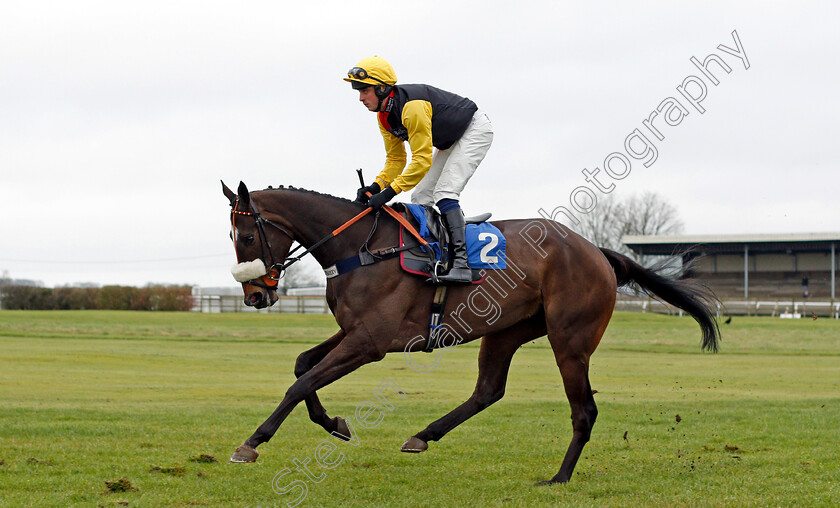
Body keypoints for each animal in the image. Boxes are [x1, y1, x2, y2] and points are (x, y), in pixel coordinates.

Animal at [220, 180, 720, 484]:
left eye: (245, 237)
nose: (255, 296)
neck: (360, 248)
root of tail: (596, 250)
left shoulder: (371, 342)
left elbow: (301, 381)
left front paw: (252, 443)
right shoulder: (354, 332)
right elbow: (302, 365)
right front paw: (334, 423)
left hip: (570, 341)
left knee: (584, 411)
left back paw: (559, 477)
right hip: (507, 330)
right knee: (488, 391)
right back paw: (423, 435)